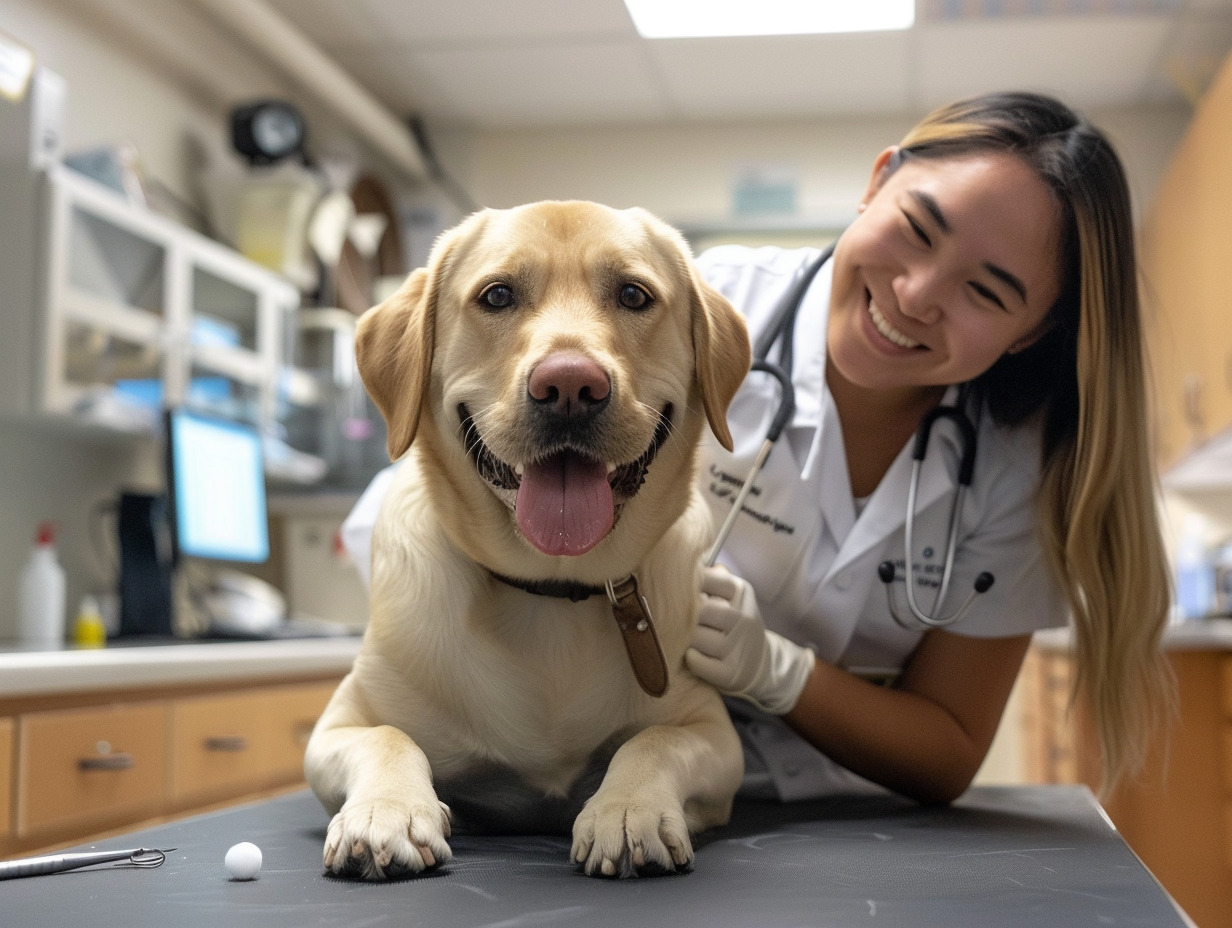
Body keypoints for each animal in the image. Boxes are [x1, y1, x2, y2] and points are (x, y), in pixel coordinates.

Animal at [305, 199, 749, 877]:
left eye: (633, 294)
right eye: (497, 295)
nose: (570, 386)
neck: (551, 590)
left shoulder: (713, 733)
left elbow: (654, 740)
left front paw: (629, 809)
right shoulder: (336, 726)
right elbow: (387, 735)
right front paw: (385, 812)